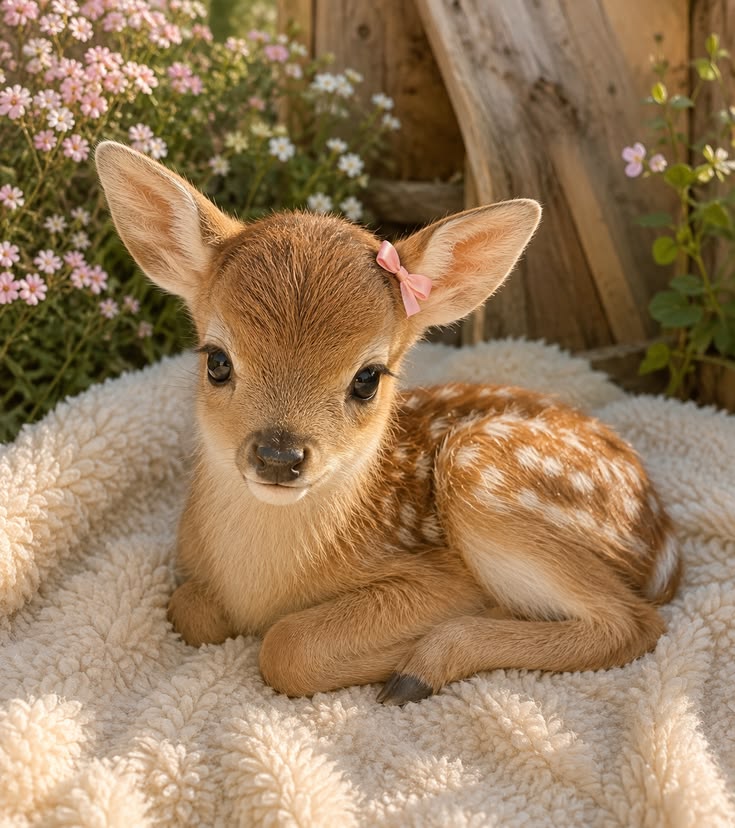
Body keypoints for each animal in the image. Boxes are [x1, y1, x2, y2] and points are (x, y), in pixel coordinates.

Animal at [95, 141, 681, 705]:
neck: (263, 587)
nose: (279, 456)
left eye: (367, 378)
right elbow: (188, 608)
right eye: (217, 360)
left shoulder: (444, 577)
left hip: (483, 477)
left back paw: (419, 670)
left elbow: (285, 647)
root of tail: (664, 548)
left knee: (634, 622)